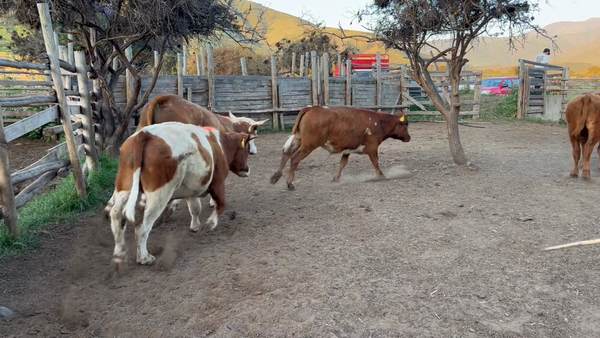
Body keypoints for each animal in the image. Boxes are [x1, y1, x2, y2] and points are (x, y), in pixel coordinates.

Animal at [105, 120, 251, 266]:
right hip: (160, 195)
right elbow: (220, 205)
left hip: (124, 188)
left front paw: (195, 226)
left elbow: (195, 208)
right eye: (246, 150)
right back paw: (144, 258)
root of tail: (145, 134)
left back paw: (119, 253)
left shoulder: (192, 188)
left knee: (117, 215)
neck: (220, 145)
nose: (247, 169)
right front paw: (209, 225)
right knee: (142, 227)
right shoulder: (217, 183)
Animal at [270, 106, 410, 190]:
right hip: (308, 146)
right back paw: (289, 183)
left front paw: (336, 178)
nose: (409, 137)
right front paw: (381, 176)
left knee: (286, 154)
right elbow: (376, 162)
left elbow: (343, 163)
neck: (379, 122)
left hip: (298, 139)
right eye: (406, 124)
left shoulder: (347, 150)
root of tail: (312, 108)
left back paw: (276, 176)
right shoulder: (372, 147)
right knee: (294, 159)